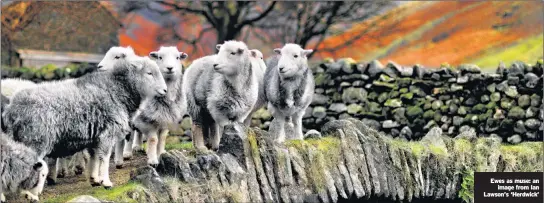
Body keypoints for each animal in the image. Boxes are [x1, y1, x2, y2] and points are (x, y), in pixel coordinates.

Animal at [1, 56, 168, 188]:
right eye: (149, 73)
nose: (165, 91)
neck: (117, 89)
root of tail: (12, 108)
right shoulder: (107, 133)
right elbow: (104, 158)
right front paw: (106, 182)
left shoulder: (95, 135)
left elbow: (94, 158)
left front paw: (95, 179)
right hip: (35, 140)